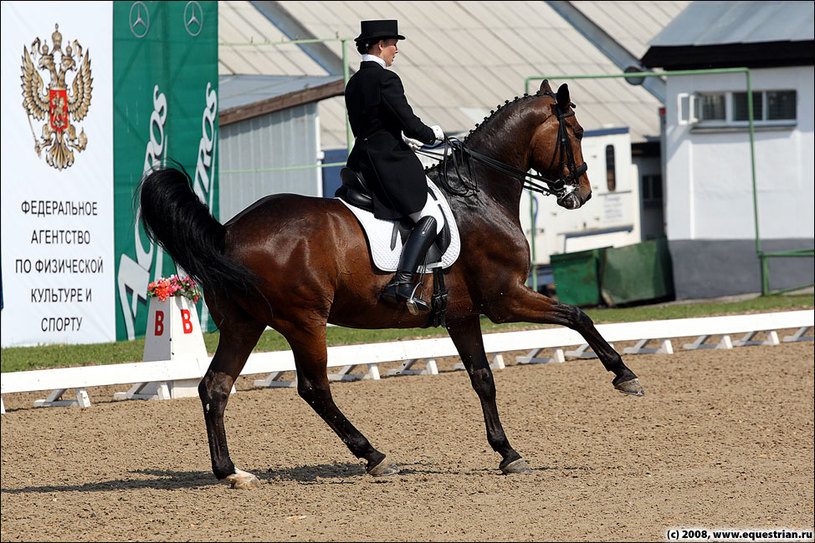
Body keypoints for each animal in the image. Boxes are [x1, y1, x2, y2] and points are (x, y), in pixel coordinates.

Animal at [143, 78, 648, 490]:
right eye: (577, 132)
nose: (580, 193)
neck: (479, 193)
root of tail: (226, 232)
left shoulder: (464, 315)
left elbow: (483, 378)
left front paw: (508, 453)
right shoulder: (505, 300)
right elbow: (577, 316)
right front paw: (625, 376)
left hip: (243, 324)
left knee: (215, 387)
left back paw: (231, 472)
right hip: (304, 322)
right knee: (314, 388)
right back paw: (374, 456)